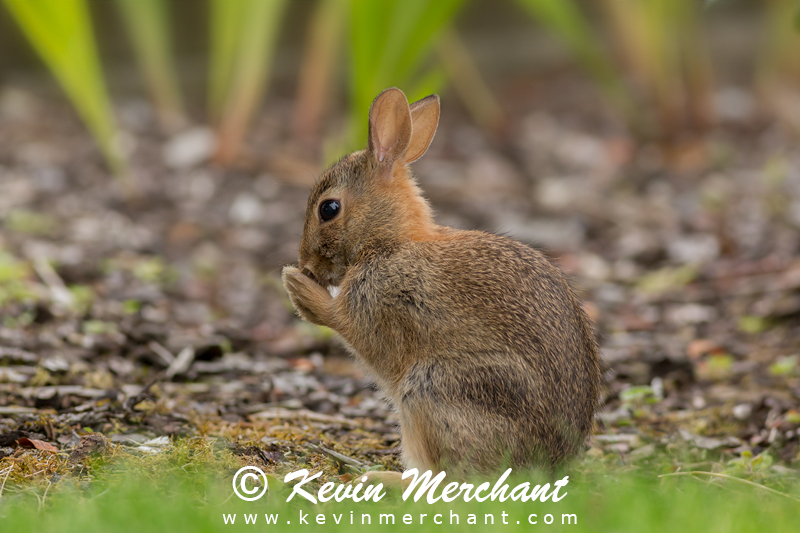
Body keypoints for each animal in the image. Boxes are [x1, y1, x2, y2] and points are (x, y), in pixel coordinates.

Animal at [282, 88, 600, 478]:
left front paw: (297, 285)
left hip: (435, 387)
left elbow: (343, 322)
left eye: (328, 209)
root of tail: (547, 466)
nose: (306, 265)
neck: (390, 242)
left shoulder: (380, 307)